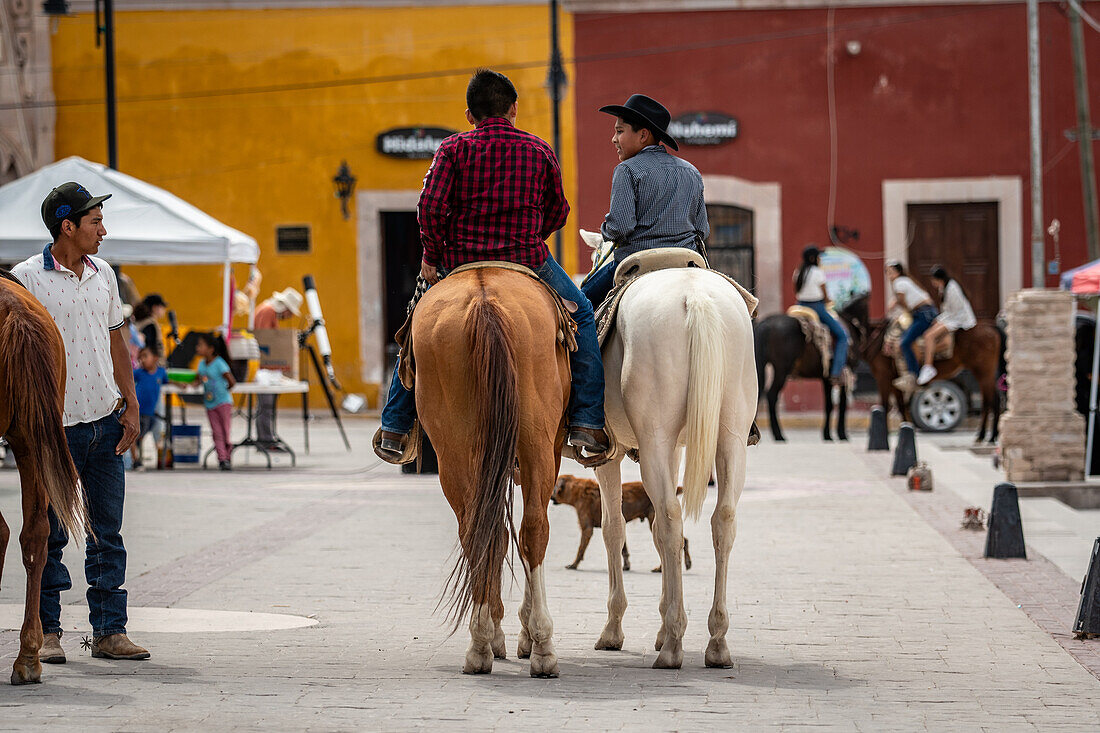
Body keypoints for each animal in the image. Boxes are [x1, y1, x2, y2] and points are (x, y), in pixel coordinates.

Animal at [409, 267, 572, 673]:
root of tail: (484, 302)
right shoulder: (550, 447)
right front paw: (520, 633)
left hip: (453, 450)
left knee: (479, 530)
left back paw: (482, 641)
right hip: (535, 441)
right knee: (531, 530)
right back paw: (538, 644)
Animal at [554, 473, 690, 572]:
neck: (577, 490)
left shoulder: (587, 529)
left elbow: (580, 549)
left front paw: (574, 564)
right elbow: (623, 549)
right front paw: (626, 566)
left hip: (655, 522)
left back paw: (664, 567)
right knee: (684, 540)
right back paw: (686, 563)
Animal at [580, 230, 761, 669]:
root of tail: (695, 298)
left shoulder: (610, 456)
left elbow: (613, 529)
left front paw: (614, 630)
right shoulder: (674, 449)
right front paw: (662, 626)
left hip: (655, 441)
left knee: (670, 520)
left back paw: (675, 646)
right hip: (729, 438)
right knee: (720, 520)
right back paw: (716, 641)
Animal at [849, 294, 1007, 442]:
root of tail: (991, 326)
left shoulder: (884, 377)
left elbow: (884, 407)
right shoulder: (894, 381)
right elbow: (899, 406)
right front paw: (905, 430)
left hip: (983, 371)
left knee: (991, 400)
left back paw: (988, 436)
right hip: (983, 372)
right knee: (992, 399)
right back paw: (987, 435)